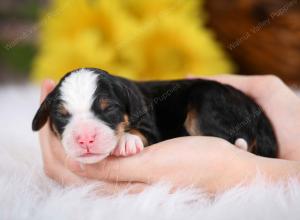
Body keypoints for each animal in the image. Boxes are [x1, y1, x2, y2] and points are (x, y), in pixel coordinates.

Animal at [31, 68, 278, 163]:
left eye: (108, 109)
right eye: (61, 115)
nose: (85, 139)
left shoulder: (151, 126)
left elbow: (142, 132)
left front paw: (126, 141)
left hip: (208, 102)